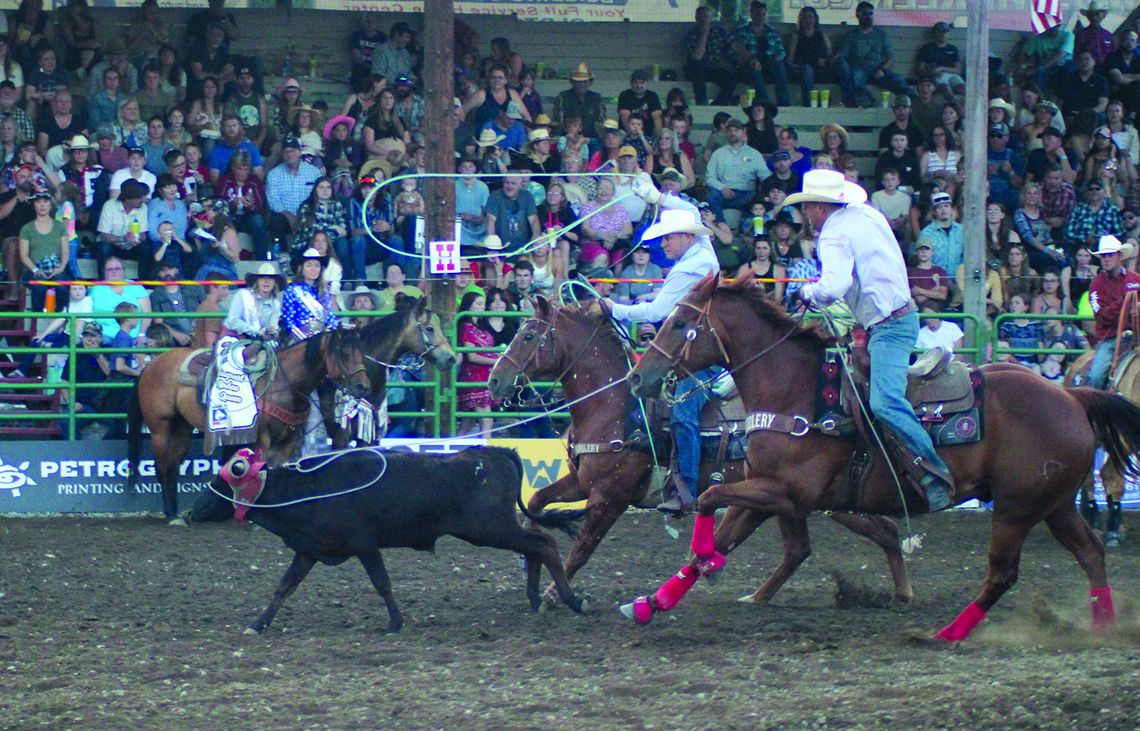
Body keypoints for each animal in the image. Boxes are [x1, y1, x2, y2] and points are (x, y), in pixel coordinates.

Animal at [129, 328, 369, 522]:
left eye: (360, 352)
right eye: (343, 354)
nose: (362, 387)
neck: (284, 383)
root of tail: (151, 365)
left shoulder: (289, 440)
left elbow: (274, 469)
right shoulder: (261, 439)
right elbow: (259, 470)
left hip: (182, 428)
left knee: (172, 467)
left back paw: (176, 513)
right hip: (160, 429)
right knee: (162, 467)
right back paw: (171, 514)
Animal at [485, 294, 912, 602]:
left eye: (528, 335)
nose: (493, 381)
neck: (613, 405)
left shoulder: (611, 495)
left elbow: (584, 547)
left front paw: (553, 595)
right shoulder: (582, 481)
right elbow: (537, 501)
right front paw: (530, 561)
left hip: (822, 498)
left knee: (877, 533)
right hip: (811, 499)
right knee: (840, 541)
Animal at [624, 273, 1140, 638]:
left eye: (681, 323)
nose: (637, 377)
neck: (795, 391)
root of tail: (1071, 396)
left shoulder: (787, 493)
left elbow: (710, 501)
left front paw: (705, 563)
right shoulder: (766, 492)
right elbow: (725, 531)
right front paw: (651, 603)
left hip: (1016, 508)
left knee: (1003, 573)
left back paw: (947, 634)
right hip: (1053, 502)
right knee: (1090, 552)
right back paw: (1102, 626)